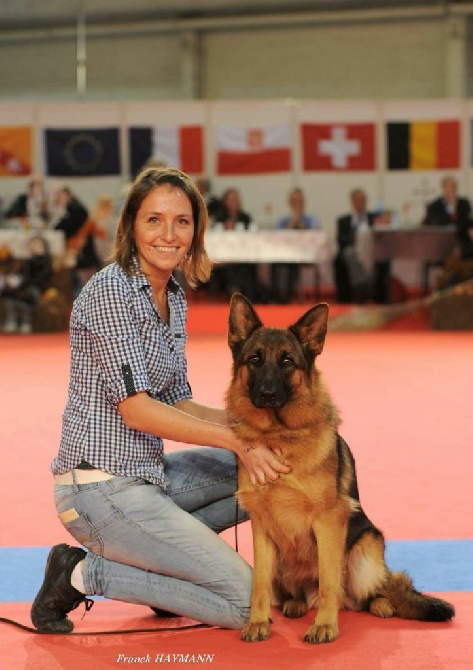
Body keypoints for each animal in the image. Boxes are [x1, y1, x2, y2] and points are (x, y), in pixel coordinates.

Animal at [227, 296, 456, 644]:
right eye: (254, 360)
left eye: (287, 362)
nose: (267, 394)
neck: (279, 436)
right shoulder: (262, 528)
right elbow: (260, 584)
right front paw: (258, 621)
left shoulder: (328, 523)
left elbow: (328, 581)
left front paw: (324, 626)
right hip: (285, 564)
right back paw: (296, 603)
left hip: (365, 552)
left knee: (371, 592)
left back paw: (381, 605)